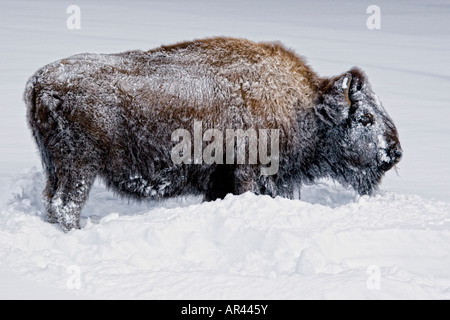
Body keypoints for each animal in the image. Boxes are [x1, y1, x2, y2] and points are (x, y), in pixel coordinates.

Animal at [24, 37, 402, 231]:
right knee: (66, 204)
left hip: (55, 167)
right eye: (365, 117)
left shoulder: (222, 179)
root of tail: (38, 82)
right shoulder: (248, 172)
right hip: (80, 167)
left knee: (53, 201)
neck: (302, 103)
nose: (394, 152)